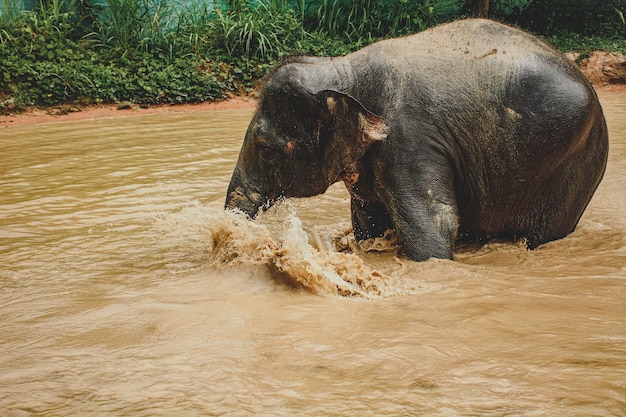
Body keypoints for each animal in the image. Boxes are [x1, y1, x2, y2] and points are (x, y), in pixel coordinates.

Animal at [223, 19, 604, 262]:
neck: (344, 69)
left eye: (265, 148)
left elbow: (434, 225)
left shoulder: (410, 140)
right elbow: (369, 223)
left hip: (572, 168)